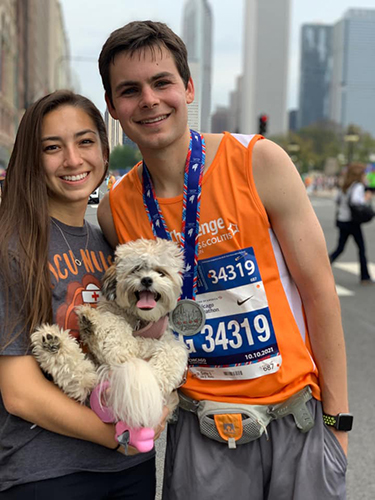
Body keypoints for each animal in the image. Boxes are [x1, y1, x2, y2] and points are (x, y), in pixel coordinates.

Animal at [30, 238, 188, 430]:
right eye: (136, 269)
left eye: (161, 272)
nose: (147, 279)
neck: (139, 320)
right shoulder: (123, 337)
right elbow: (117, 327)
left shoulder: (167, 340)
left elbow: (174, 350)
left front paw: (156, 376)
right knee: (79, 376)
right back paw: (58, 340)